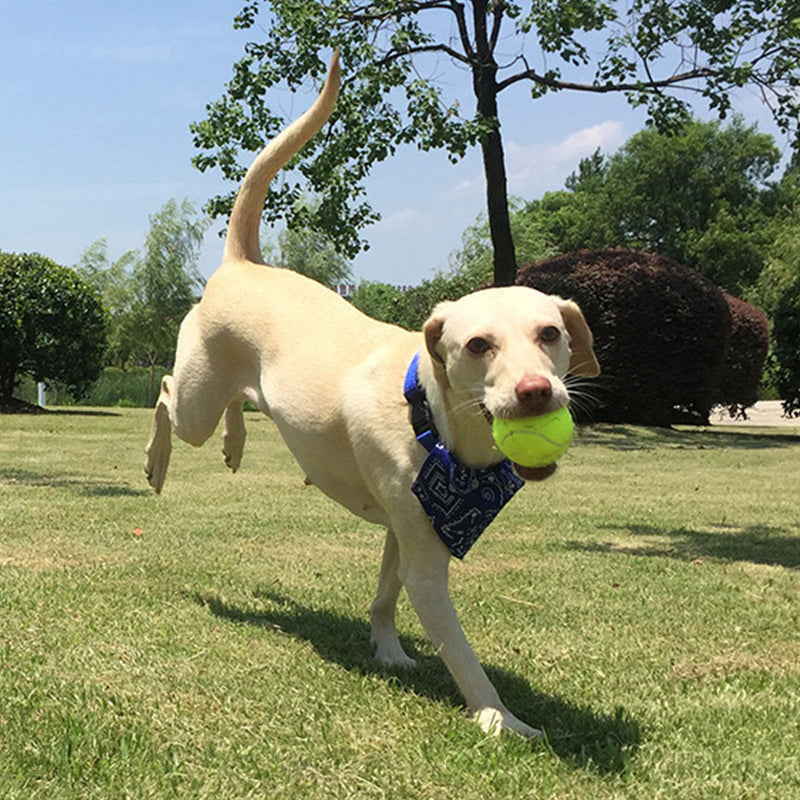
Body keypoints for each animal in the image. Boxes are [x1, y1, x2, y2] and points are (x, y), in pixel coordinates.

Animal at [144, 51, 596, 736]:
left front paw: (388, 650)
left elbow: (385, 593)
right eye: (478, 345)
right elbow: (462, 653)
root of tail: (244, 263)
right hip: (196, 388)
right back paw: (157, 462)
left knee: (233, 401)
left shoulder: (407, 527)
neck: (434, 422)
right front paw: (501, 720)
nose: (537, 392)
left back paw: (235, 443)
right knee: (169, 396)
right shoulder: (428, 565)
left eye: (550, 333)